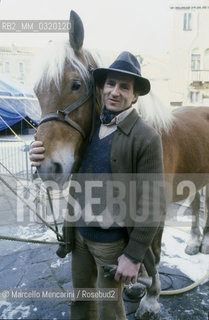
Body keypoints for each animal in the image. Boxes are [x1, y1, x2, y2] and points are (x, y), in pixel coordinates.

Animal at [32, 10, 209, 320]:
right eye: (36, 92)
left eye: (75, 84)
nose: (48, 167)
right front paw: (137, 285)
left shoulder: (156, 210)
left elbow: (154, 253)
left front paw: (151, 298)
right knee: (198, 202)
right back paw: (193, 240)